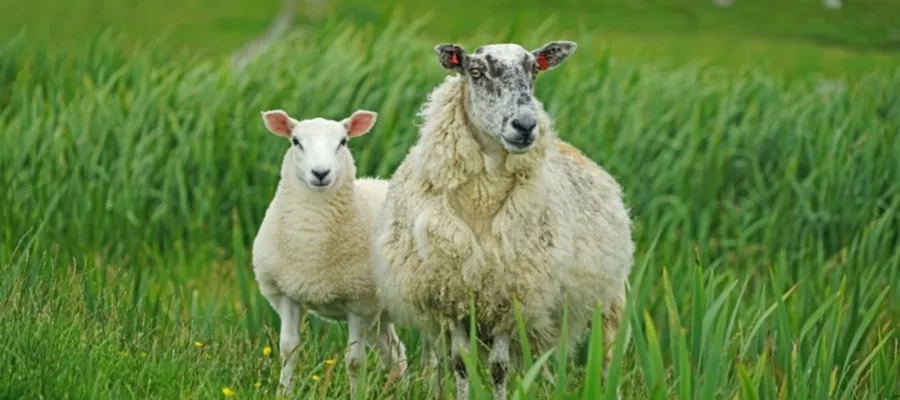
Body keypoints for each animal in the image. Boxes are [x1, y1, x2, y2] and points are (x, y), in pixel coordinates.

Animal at [252, 108, 408, 396]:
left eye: (343, 142)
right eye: (296, 142)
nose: (320, 173)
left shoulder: (360, 304)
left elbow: (354, 362)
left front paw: (356, 395)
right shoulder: (287, 295)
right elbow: (288, 351)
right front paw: (284, 393)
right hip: (382, 316)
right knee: (395, 353)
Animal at [371, 41, 634, 399]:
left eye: (534, 70)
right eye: (476, 72)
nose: (525, 126)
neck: (481, 201)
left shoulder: (509, 296)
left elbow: (498, 368)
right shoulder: (453, 297)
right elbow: (461, 364)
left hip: (609, 300)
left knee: (608, 357)